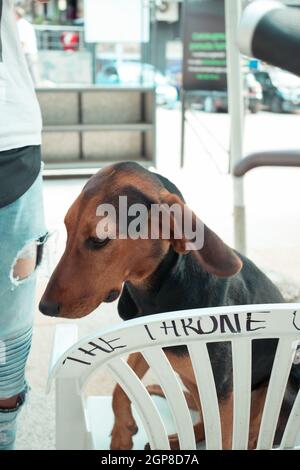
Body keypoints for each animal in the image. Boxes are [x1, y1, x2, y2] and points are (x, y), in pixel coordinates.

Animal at [39, 163, 300, 450]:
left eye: (99, 239)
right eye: (67, 228)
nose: (44, 307)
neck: (159, 290)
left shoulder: (222, 391)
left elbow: (224, 437)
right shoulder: (147, 346)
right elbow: (119, 389)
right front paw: (122, 431)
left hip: (281, 387)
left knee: (250, 435)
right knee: (203, 424)